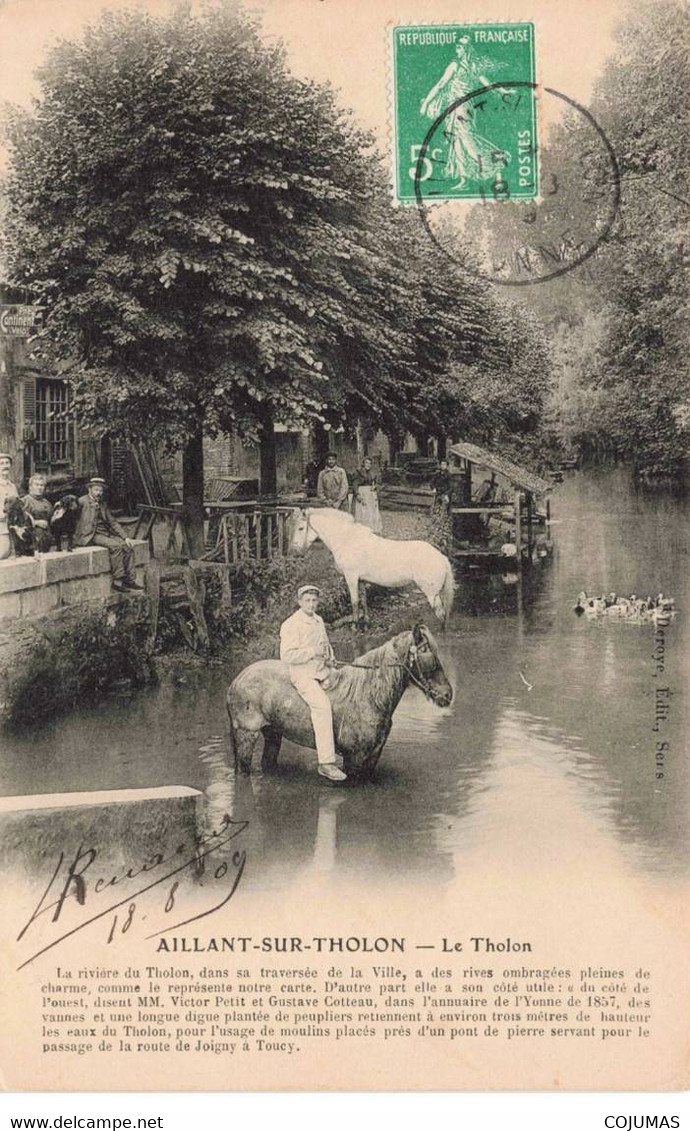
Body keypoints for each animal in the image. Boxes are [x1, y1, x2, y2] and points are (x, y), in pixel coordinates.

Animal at [226, 624, 452, 782]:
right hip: (246, 735)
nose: (447, 694)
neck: (369, 696)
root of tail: (237, 680)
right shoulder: (355, 759)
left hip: (273, 733)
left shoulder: (372, 757)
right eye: (427, 655)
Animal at [287, 506, 454, 628]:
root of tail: (441, 557)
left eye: (301, 528)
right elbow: (363, 600)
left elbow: (354, 602)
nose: (294, 551)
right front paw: (366, 623)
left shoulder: (351, 578)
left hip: (432, 594)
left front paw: (355, 627)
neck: (346, 539)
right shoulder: (361, 580)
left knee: (441, 615)